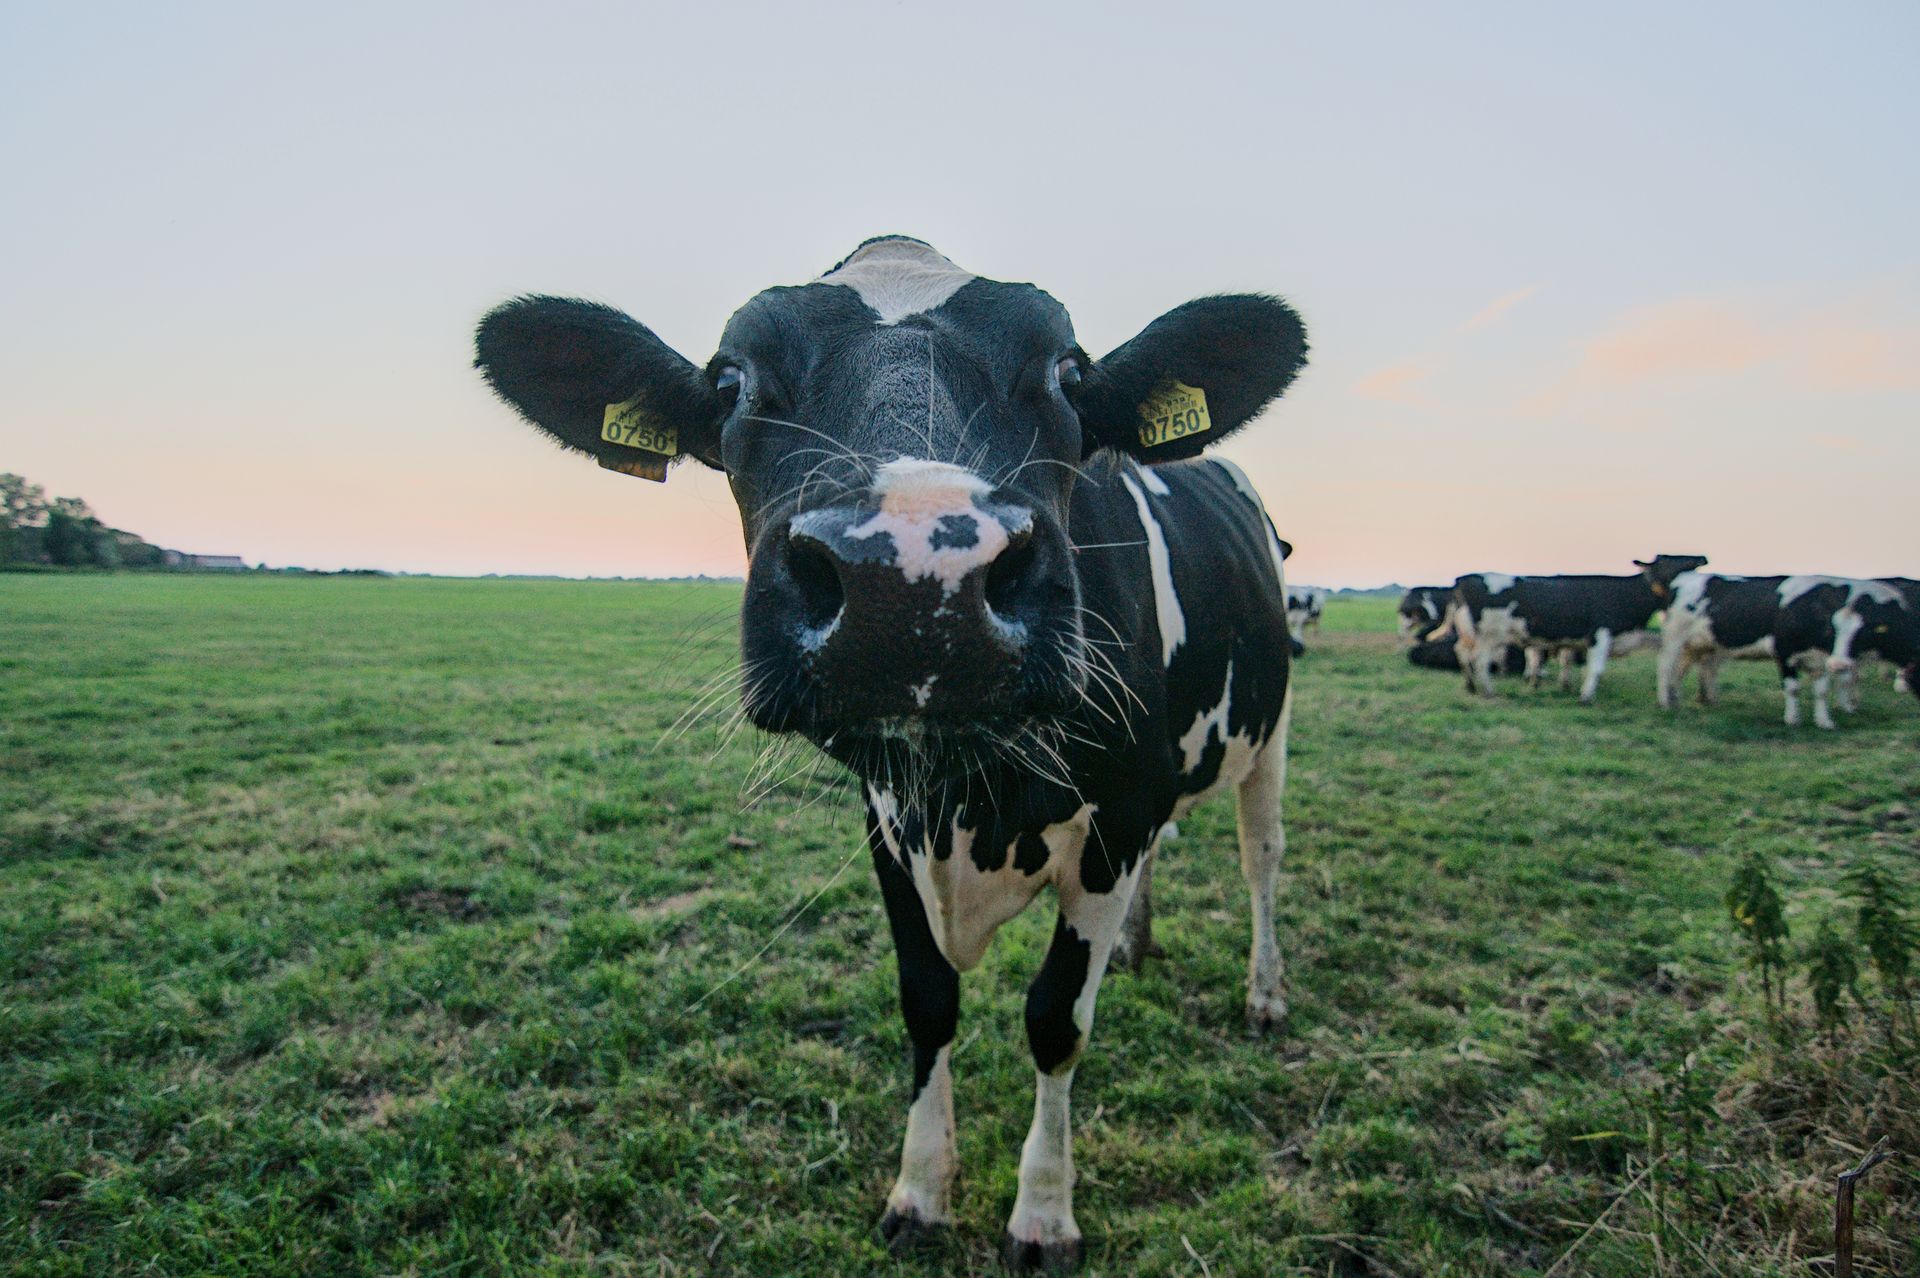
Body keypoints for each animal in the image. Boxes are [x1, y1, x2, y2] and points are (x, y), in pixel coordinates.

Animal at [473, 237, 1308, 1271]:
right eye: (731, 381)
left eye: (1070, 373)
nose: (911, 581)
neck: (974, 800)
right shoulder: (889, 826)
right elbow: (927, 1001)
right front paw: (919, 1191)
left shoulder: (1116, 817)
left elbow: (1055, 1020)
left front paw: (1043, 1213)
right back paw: (1139, 948)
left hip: (1270, 734)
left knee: (1261, 861)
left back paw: (1265, 994)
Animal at [1448, 556, 1707, 701]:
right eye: (1671, 560)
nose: (1702, 557)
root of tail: (1463, 579)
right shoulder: (1600, 634)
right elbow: (1596, 668)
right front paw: (1586, 696)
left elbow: (1568, 661)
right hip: (1489, 636)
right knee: (1479, 660)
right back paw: (1488, 691)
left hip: (1471, 635)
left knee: (1463, 653)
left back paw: (1471, 686)